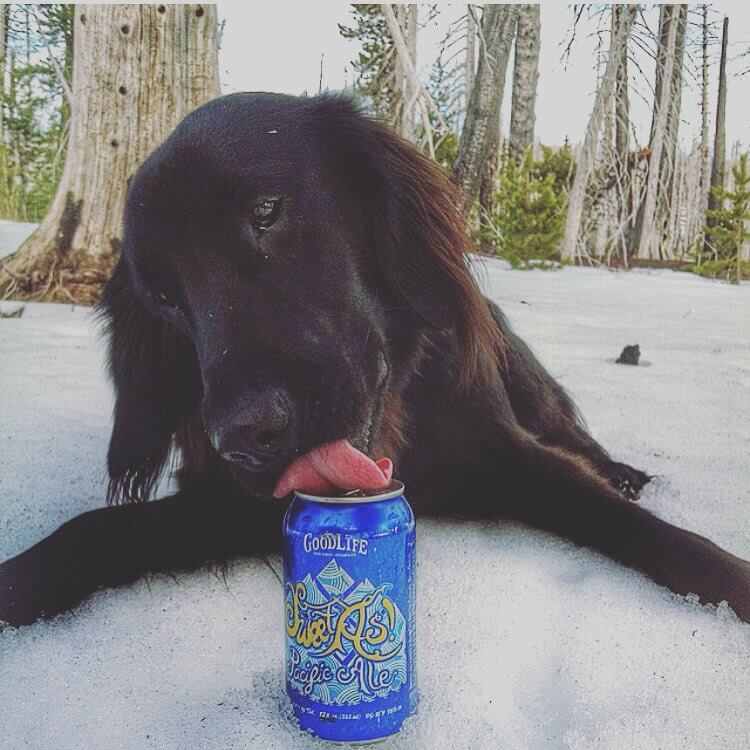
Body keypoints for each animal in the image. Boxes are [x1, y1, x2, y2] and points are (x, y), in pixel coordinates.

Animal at [1, 94, 750, 624]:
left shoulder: (512, 455)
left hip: (525, 375)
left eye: (265, 210)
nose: (244, 434)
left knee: (572, 432)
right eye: (162, 296)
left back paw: (621, 468)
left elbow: (661, 537)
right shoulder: (228, 501)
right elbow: (92, 532)